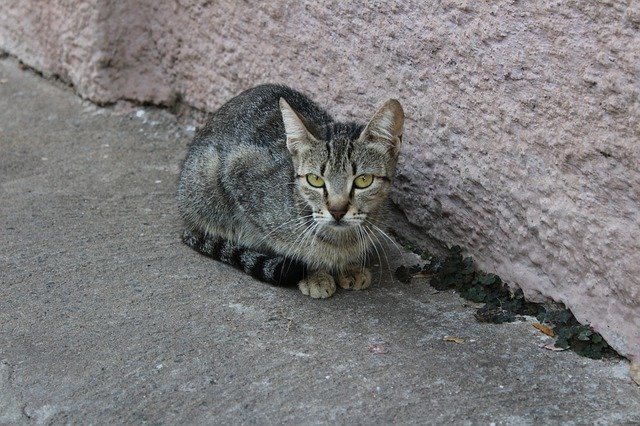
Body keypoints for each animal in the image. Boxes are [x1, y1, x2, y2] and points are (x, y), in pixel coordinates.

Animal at [178, 84, 402, 300]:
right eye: (315, 180)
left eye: (363, 180)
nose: (337, 212)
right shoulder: (239, 174)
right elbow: (290, 247)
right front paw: (314, 273)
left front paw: (348, 266)